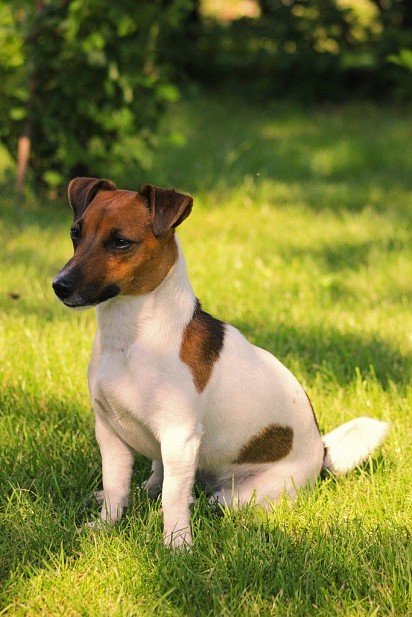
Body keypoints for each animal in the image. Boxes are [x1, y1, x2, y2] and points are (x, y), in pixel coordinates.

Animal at [52, 176, 390, 548]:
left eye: (121, 242)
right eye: (75, 233)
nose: (60, 286)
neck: (132, 339)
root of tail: (322, 451)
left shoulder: (180, 436)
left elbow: (174, 498)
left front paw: (177, 543)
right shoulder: (110, 432)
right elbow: (116, 487)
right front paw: (105, 526)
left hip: (234, 495)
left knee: (199, 498)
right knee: (156, 478)